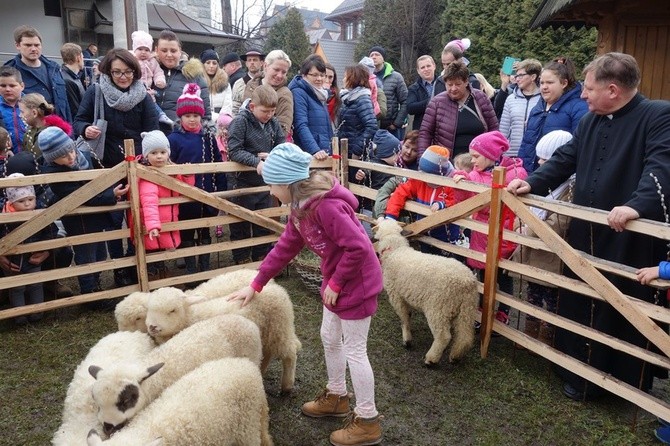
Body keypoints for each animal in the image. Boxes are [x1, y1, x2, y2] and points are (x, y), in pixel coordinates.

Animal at [148, 272, 304, 394]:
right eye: (149, 309)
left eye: (172, 310)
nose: (152, 327)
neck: (191, 315)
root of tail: (278, 289)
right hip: (268, 333)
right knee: (268, 352)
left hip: (280, 329)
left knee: (290, 353)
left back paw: (287, 385)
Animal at [376, 218, 480, 364]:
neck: (395, 251)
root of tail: (467, 281)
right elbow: (408, 315)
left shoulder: (396, 295)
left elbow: (404, 317)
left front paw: (407, 340)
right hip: (467, 309)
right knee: (465, 335)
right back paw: (455, 356)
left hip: (438, 308)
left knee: (443, 336)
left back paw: (431, 359)